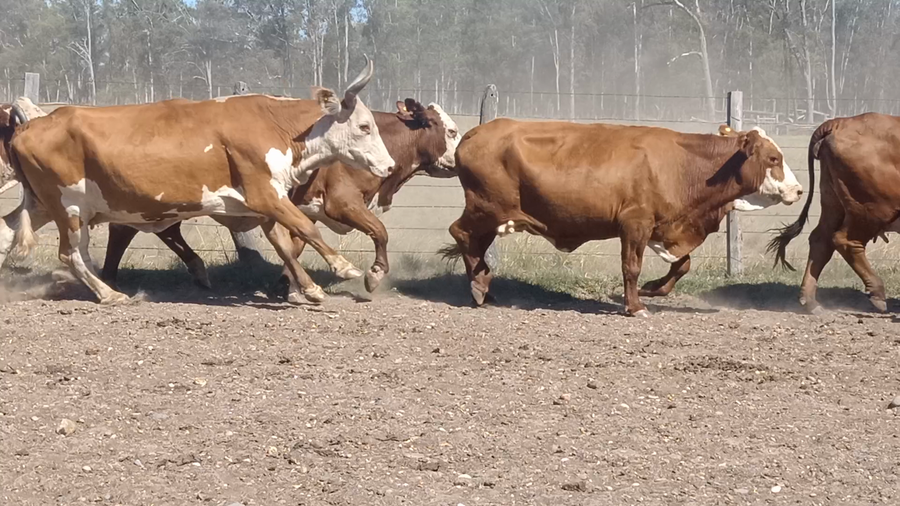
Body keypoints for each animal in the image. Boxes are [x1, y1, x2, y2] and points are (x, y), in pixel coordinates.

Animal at [1, 58, 396, 305]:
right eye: (364, 126)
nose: (389, 166)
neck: (277, 125)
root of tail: (32, 124)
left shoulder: (267, 203)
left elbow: (285, 243)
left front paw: (310, 289)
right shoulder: (265, 195)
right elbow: (306, 229)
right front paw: (344, 267)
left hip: (43, 204)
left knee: (9, 230)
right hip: (66, 205)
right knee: (70, 254)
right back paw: (110, 294)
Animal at [99, 98, 461, 296]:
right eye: (451, 130)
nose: (461, 159)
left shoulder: (306, 210)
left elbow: (297, 244)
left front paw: (287, 285)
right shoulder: (342, 203)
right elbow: (380, 232)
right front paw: (373, 276)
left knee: (164, 231)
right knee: (125, 230)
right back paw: (110, 278)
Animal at [441, 118, 803, 317]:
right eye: (774, 158)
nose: (798, 190)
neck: (683, 165)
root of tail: (475, 134)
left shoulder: (663, 226)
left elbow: (683, 264)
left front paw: (654, 289)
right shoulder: (635, 224)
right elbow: (631, 267)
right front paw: (635, 305)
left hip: (492, 215)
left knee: (473, 243)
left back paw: (484, 285)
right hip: (486, 207)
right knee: (460, 233)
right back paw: (479, 286)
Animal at [768, 113, 900, 315]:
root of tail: (840, 122)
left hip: (832, 202)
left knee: (820, 240)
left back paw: (810, 302)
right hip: (872, 210)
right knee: (846, 241)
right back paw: (877, 293)